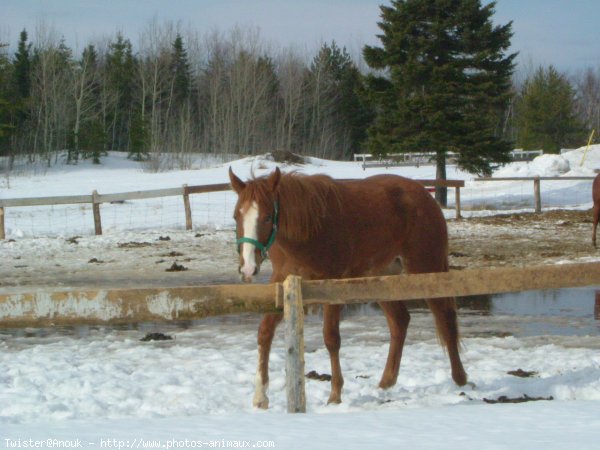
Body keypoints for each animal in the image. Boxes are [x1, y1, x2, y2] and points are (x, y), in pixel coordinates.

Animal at [227, 168, 466, 408]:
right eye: (236, 216)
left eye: (267, 217)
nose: (248, 268)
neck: (309, 229)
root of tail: (424, 195)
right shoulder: (282, 283)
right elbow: (265, 332)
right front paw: (260, 397)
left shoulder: (332, 286)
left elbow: (331, 338)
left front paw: (335, 394)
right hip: (381, 279)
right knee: (400, 321)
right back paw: (386, 381)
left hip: (426, 270)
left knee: (444, 316)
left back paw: (460, 378)